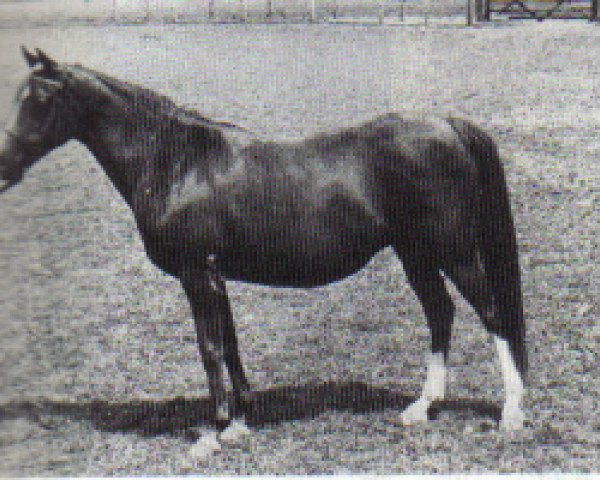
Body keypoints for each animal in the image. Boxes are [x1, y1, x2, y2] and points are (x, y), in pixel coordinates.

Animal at [0, 47, 524, 458]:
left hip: (453, 252)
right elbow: (230, 344)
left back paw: (511, 414)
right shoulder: (216, 277)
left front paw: (212, 434)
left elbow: (210, 348)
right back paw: (421, 408)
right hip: (415, 253)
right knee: (440, 313)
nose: (3, 167)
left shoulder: (197, 273)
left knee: (493, 314)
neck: (176, 161)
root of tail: (450, 126)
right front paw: (240, 422)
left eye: (39, 99)